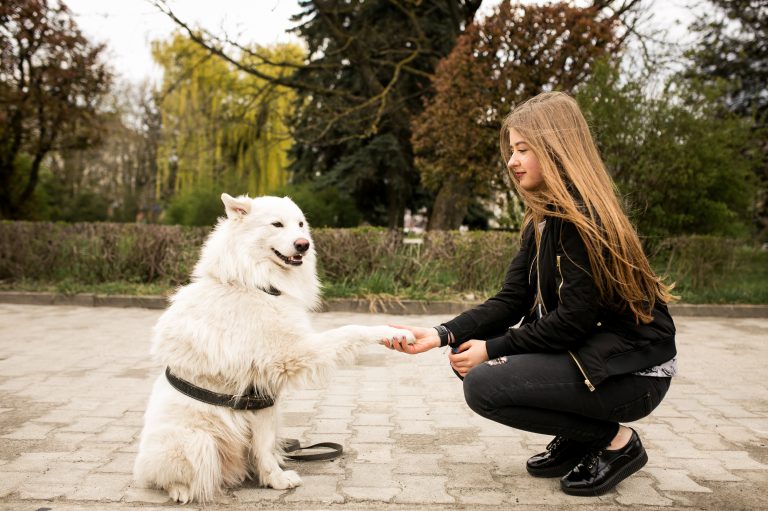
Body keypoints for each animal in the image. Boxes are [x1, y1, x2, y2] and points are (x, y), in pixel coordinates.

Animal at [134, 195, 414, 504]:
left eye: (301, 224)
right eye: (277, 224)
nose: (303, 244)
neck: (256, 285)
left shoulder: (264, 400)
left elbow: (264, 446)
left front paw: (274, 480)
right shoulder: (292, 354)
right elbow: (351, 329)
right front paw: (395, 332)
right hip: (198, 442)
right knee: (170, 477)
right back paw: (181, 490)